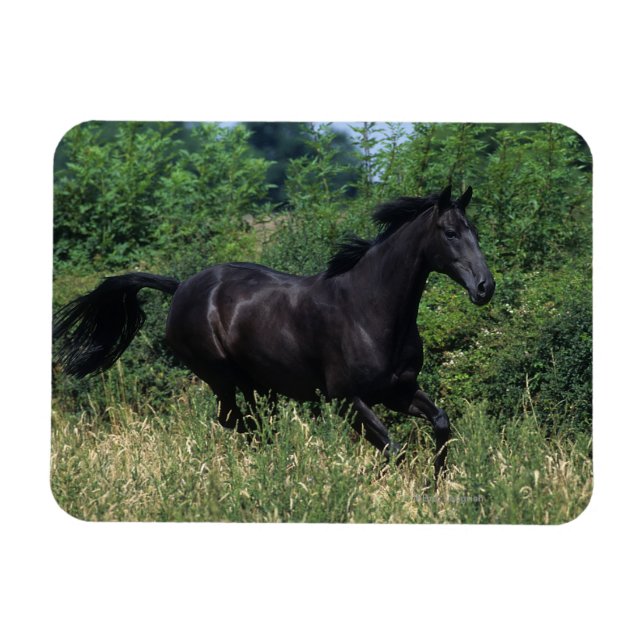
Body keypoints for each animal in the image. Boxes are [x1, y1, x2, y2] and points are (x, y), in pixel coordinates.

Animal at [53, 185, 495, 477]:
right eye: (451, 233)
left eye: (475, 230)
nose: (484, 287)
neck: (370, 309)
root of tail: (180, 288)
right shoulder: (348, 400)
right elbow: (395, 449)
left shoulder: (397, 391)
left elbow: (441, 424)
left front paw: (435, 488)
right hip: (220, 377)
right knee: (237, 422)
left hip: (257, 383)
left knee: (255, 424)